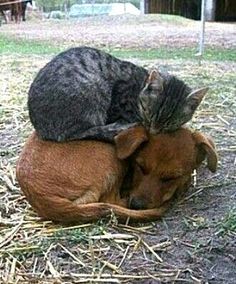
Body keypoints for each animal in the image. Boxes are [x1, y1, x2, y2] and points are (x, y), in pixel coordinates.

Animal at [15, 127, 217, 224]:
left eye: (170, 178)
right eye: (140, 167)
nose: (137, 205)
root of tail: (41, 196)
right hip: (109, 153)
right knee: (111, 200)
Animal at [28, 46, 208, 142]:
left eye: (170, 123)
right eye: (149, 114)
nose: (153, 132)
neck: (140, 87)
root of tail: (41, 128)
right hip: (94, 87)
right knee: (78, 134)